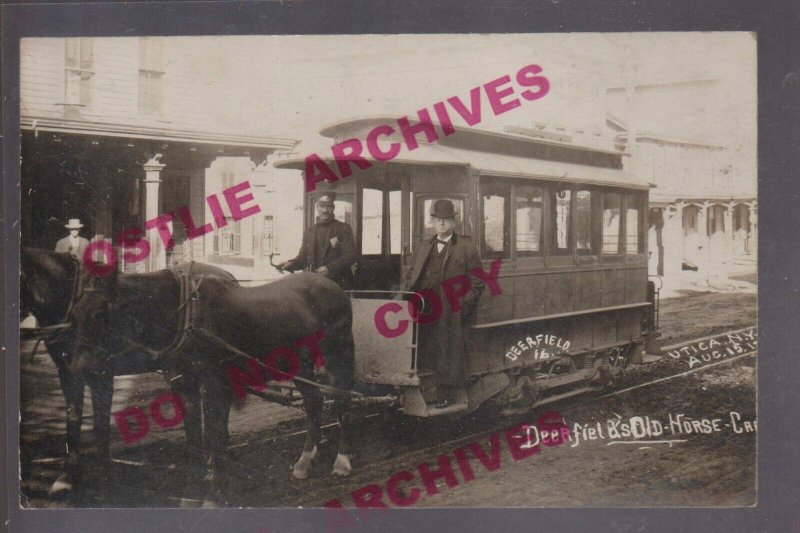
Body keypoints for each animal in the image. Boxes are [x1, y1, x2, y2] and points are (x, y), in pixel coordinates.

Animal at [19, 249, 238, 494]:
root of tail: (228, 276)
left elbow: (101, 424)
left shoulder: (101, 374)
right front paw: (68, 475)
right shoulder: (66, 372)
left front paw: (103, 476)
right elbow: (73, 417)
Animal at [67, 266, 354, 502]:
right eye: (75, 314)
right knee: (314, 403)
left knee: (341, 402)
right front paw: (194, 486)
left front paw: (214, 489)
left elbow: (215, 435)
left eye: (100, 313)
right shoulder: (184, 386)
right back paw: (305, 462)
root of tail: (333, 286)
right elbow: (194, 435)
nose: (78, 369)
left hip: (337, 355)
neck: (187, 317)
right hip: (301, 366)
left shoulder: (216, 386)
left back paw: (341, 461)